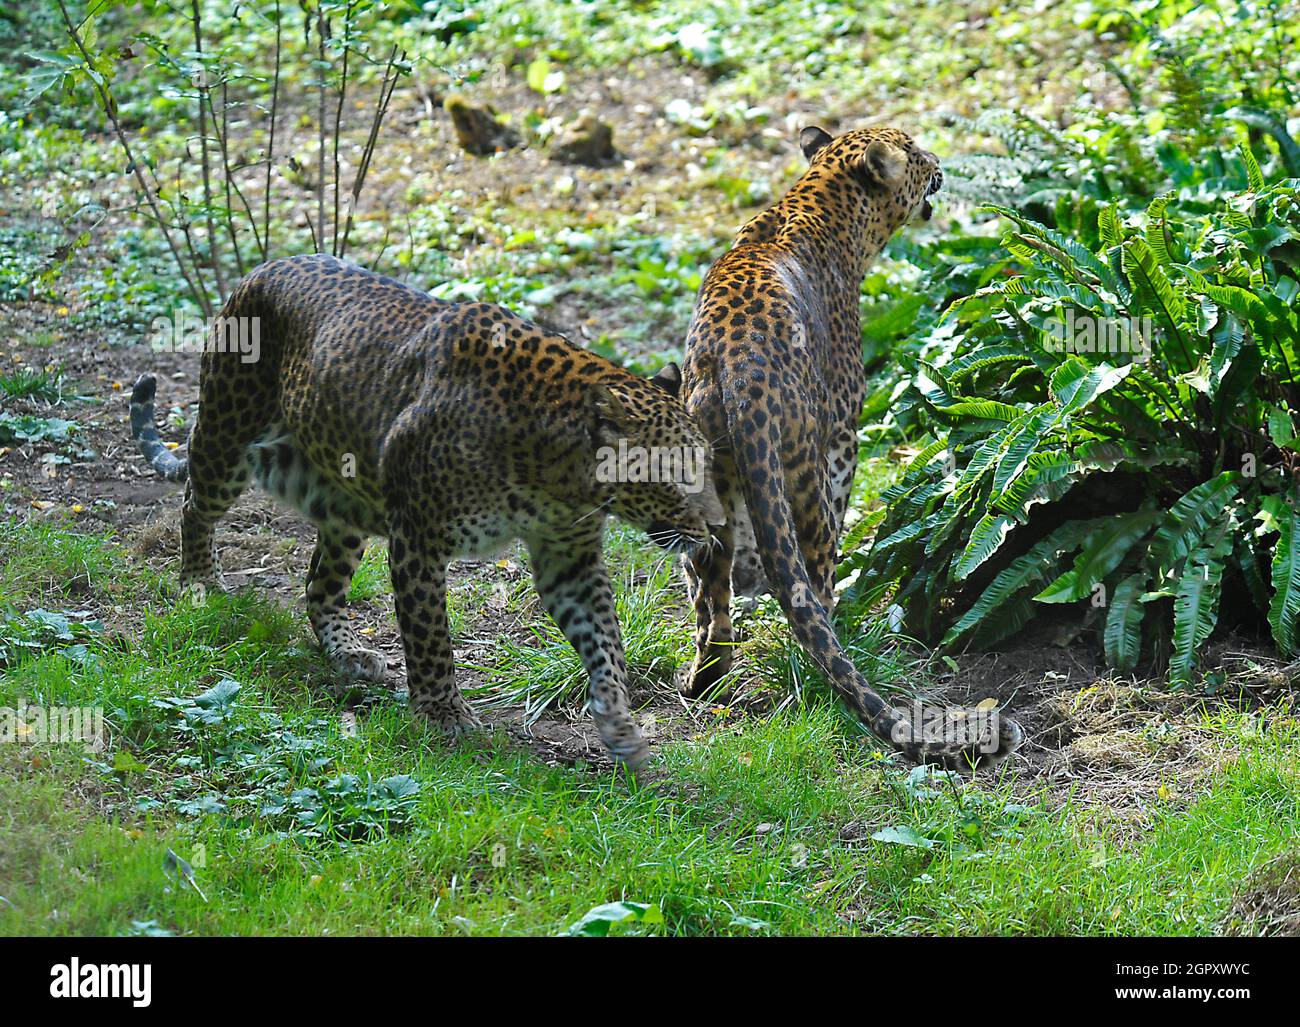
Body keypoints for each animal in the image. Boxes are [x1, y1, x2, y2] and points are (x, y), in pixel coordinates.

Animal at [130, 254, 722, 769]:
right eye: (677, 475)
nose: (716, 526)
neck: (562, 474)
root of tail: (264, 267)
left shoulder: (569, 559)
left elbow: (605, 641)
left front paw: (620, 724)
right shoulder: (418, 537)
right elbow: (430, 635)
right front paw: (444, 714)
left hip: (344, 499)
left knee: (319, 584)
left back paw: (348, 654)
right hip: (229, 437)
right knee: (195, 504)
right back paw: (200, 584)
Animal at [676, 126, 1019, 769]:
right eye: (914, 154)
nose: (938, 160)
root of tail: (736, 370)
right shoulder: (845, 432)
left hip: (710, 484)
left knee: (713, 586)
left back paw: (705, 680)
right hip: (805, 468)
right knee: (814, 573)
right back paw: (828, 646)